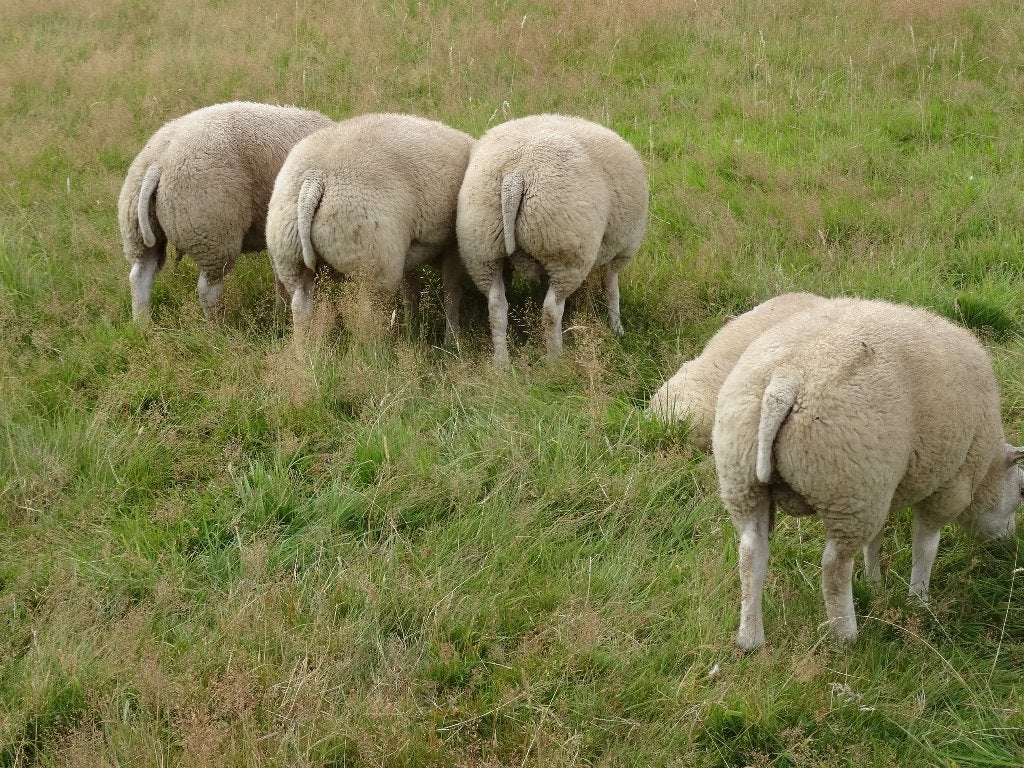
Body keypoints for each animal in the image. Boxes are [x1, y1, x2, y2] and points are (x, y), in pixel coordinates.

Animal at [118, 101, 334, 322]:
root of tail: (158, 162)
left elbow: (279, 275)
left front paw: (280, 312)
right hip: (212, 231)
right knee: (208, 289)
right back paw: (217, 325)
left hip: (136, 226)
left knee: (140, 275)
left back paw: (142, 324)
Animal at [266, 113, 474, 347]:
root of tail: (314, 180)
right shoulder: (452, 248)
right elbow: (451, 291)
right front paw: (452, 340)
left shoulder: (407, 251)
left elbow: (411, 292)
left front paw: (412, 330)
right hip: (373, 261)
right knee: (366, 317)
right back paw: (377, 352)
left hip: (289, 256)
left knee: (301, 307)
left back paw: (304, 351)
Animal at [456, 114, 648, 365]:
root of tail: (515, 175)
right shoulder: (619, 251)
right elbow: (612, 290)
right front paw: (617, 328)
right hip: (566, 250)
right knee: (551, 309)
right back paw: (555, 358)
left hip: (481, 247)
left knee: (496, 305)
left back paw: (501, 362)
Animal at [712, 297, 1023, 649]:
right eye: (1021, 493)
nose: (1009, 543)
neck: (986, 467)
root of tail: (784, 382)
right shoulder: (948, 486)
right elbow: (926, 547)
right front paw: (919, 601)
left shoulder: (884, 487)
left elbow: (875, 540)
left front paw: (874, 582)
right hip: (850, 488)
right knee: (834, 567)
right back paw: (846, 634)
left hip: (745, 477)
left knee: (752, 552)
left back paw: (751, 638)